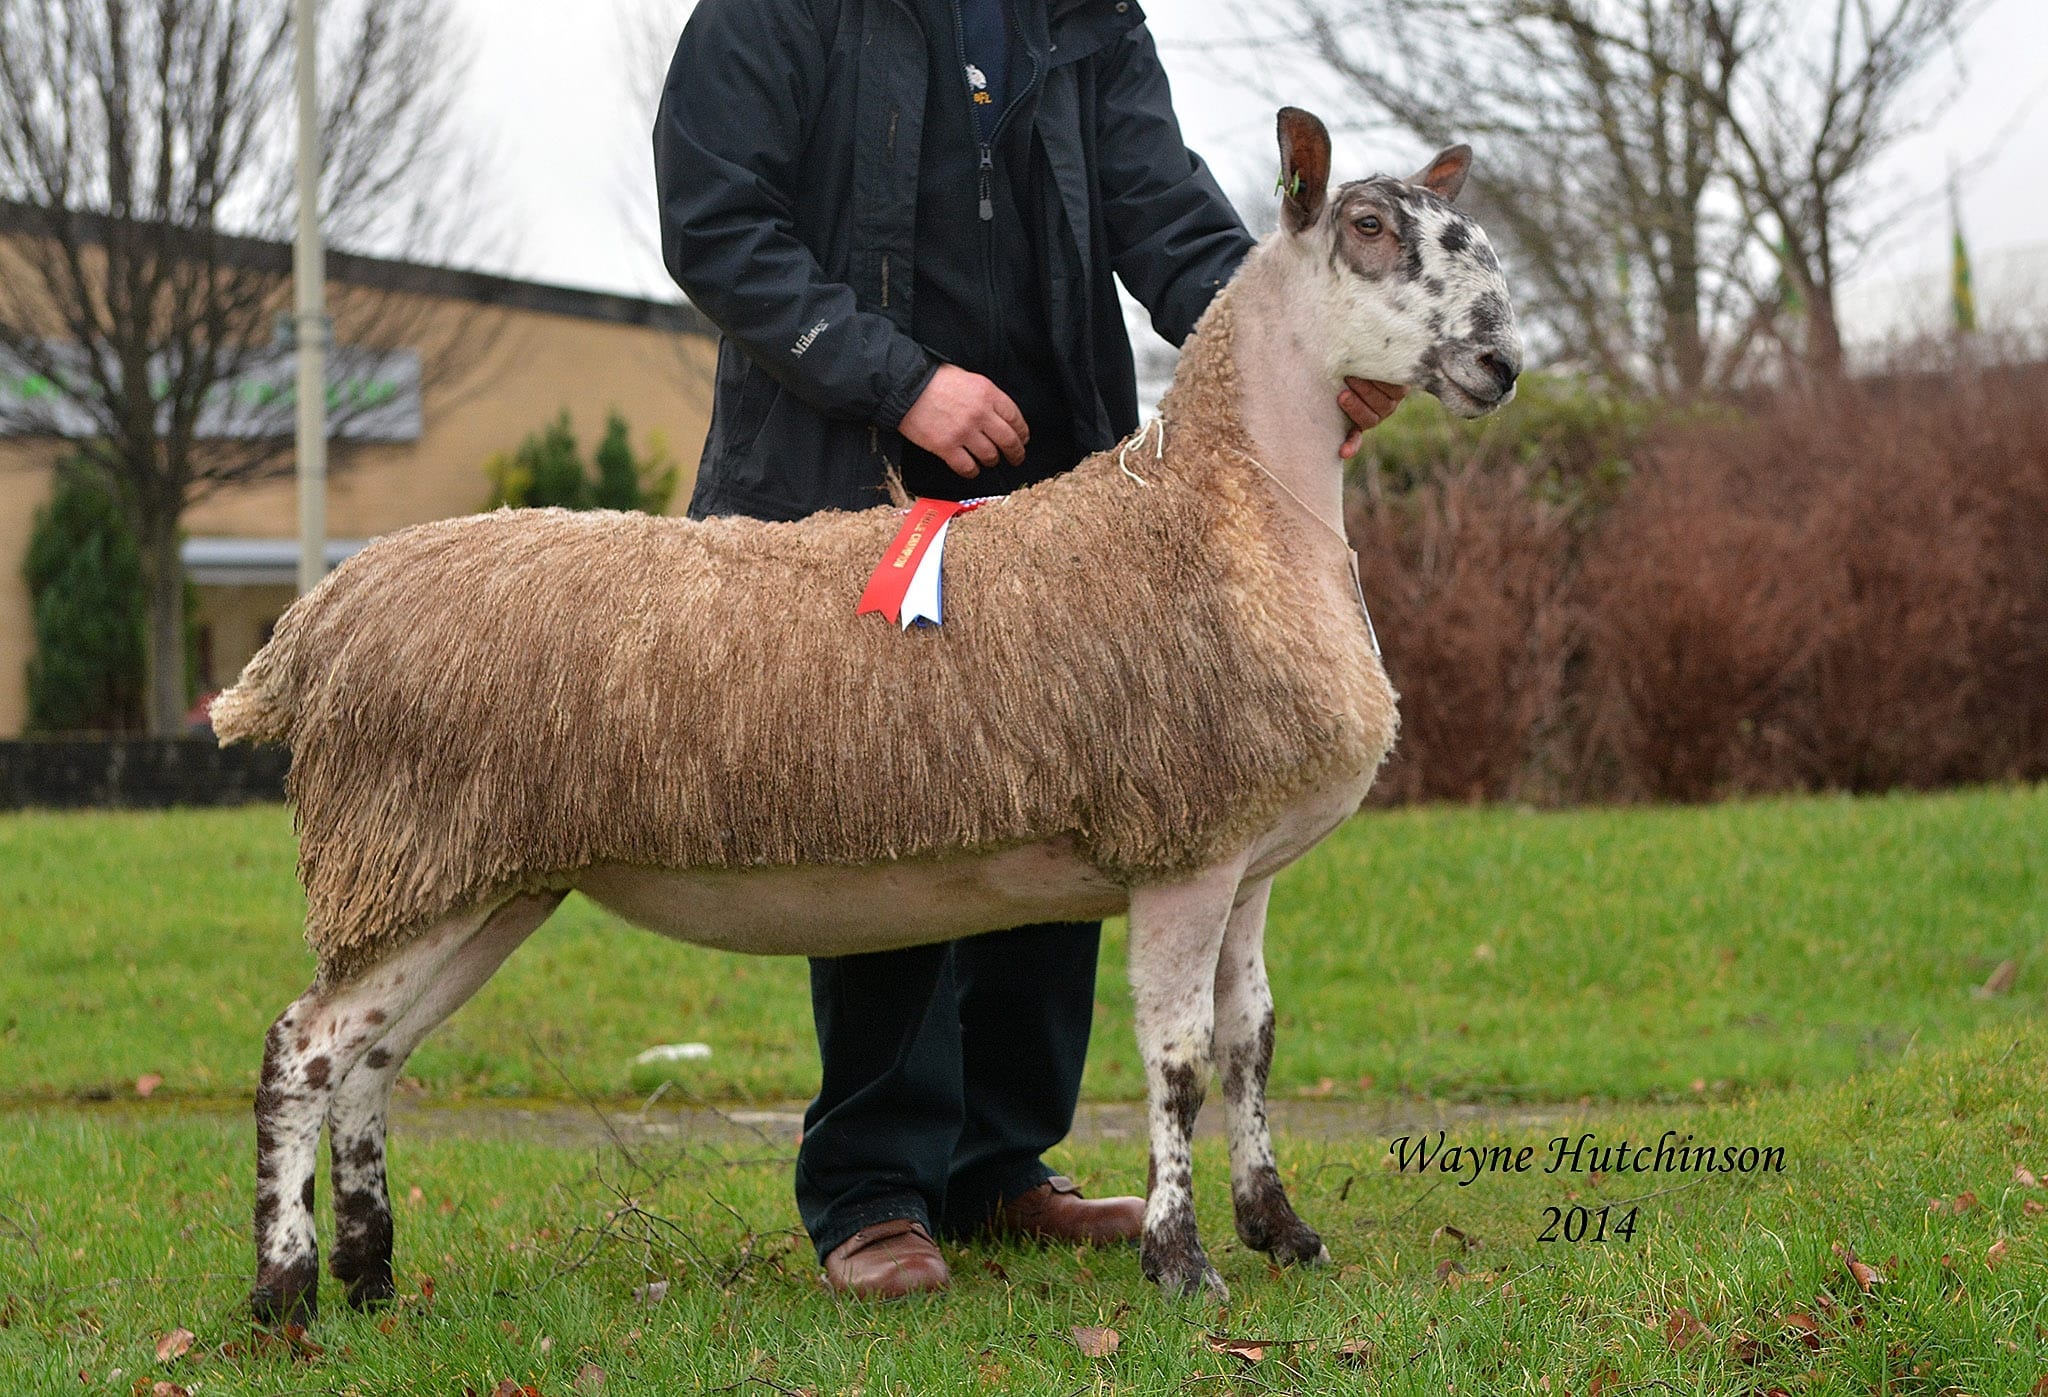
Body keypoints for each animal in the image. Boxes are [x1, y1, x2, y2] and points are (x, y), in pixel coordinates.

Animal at [216, 108, 1523, 1319]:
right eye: (1369, 229)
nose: (1503, 366)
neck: (1222, 505)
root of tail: (313, 621)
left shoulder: (1247, 861)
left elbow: (1251, 1043)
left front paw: (1280, 1231)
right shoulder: (1181, 851)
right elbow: (1179, 1063)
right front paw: (1179, 1261)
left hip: (474, 877)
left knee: (373, 1058)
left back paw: (372, 1273)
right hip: (409, 848)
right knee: (301, 1048)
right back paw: (286, 1291)